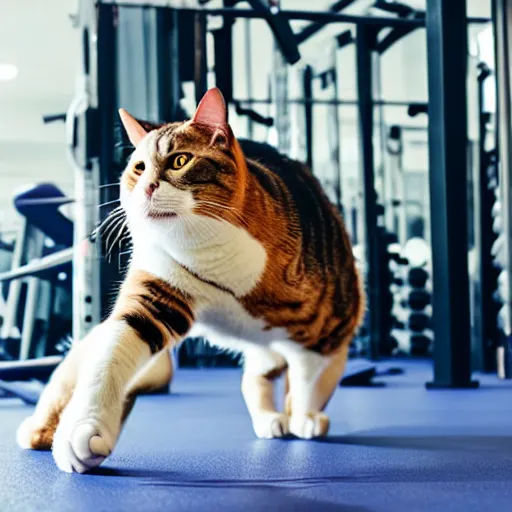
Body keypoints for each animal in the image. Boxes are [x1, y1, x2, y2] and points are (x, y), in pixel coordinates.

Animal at [16, 87, 366, 472]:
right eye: (139, 168)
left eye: (180, 161)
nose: (147, 187)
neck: (215, 252)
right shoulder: (159, 292)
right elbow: (110, 353)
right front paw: (84, 428)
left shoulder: (322, 329)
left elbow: (307, 380)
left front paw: (304, 416)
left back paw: (294, 416)